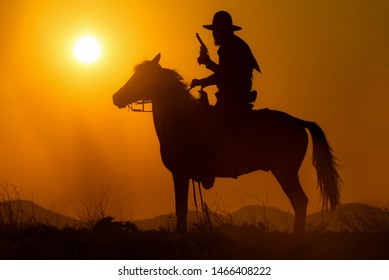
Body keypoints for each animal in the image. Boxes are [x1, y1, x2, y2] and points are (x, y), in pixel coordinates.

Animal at [111, 53, 340, 233]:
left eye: (141, 77)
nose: (116, 97)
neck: (180, 120)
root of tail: (298, 121)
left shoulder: (180, 173)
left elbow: (181, 208)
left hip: (285, 171)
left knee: (300, 202)